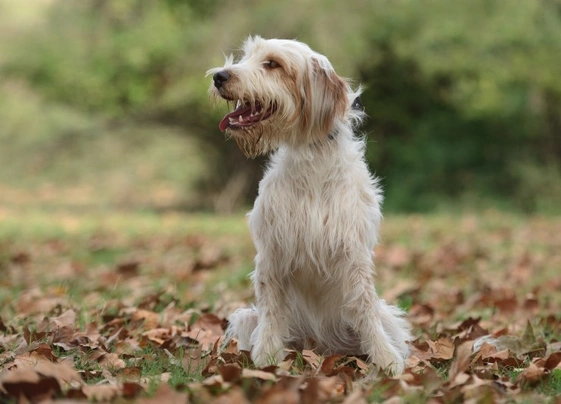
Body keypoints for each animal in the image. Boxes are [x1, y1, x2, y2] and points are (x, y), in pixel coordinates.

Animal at [206, 36, 412, 374]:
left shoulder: (353, 253)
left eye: (272, 64)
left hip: (387, 315)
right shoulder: (272, 252)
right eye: (246, 57)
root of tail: (321, 344)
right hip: (248, 317)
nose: (219, 76)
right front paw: (266, 359)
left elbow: (365, 309)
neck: (312, 162)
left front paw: (385, 359)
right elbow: (272, 312)